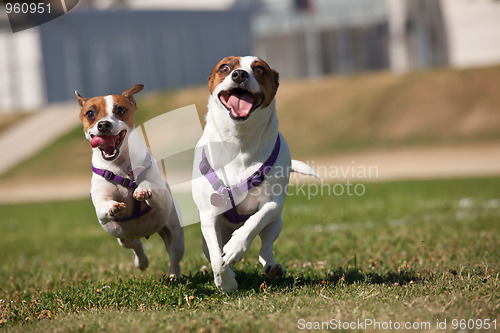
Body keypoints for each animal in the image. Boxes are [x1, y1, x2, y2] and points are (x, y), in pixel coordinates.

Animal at [78, 84, 186, 276]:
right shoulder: (101, 208)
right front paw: (114, 207)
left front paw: (143, 190)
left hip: (175, 237)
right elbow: (104, 206)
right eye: (90, 113)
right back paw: (141, 262)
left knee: (174, 258)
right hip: (123, 237)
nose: (103, 124)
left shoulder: (160, 196)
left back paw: (174, 276)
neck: (119, 167)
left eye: (120, 110)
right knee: (136, 245)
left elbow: (151, 189)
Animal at [191, 55, 316, 290]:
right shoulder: (209, 214)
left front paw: (235, 248)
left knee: (265, 245)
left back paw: (271, 266)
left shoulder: (274, 203)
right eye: (224, 67)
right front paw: (226, 283)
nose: (239, 74)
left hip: (276, 223)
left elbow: (255, 222)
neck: (240, 141)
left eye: (259, 69)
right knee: (212, 250)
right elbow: (216, 258)